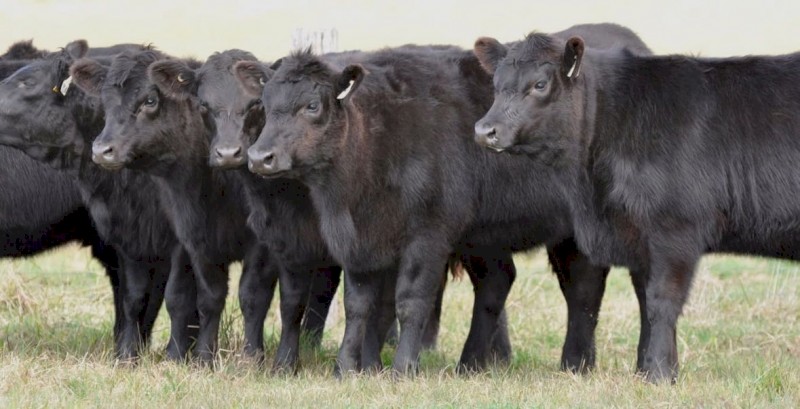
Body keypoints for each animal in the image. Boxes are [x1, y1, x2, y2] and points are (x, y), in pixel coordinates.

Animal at [472, 29, 800, 383]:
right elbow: (644, 303)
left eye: (540, 84)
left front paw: (659, 374)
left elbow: (661, 301)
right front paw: (645, 370)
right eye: (496, 84)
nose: (485, 130)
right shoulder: (638, 238)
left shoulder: (674, 232)